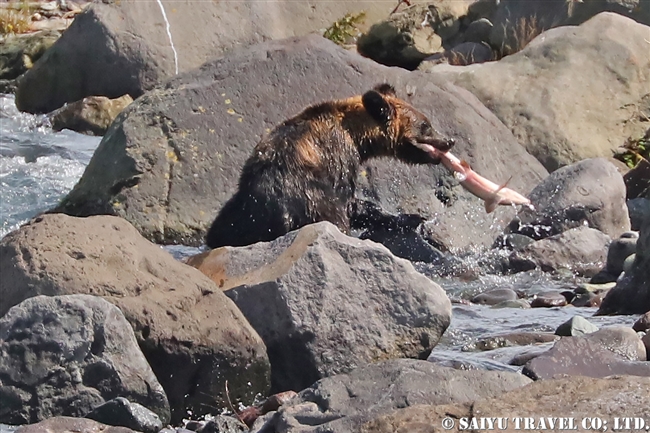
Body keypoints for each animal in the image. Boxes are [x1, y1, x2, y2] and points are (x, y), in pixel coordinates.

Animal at [205, 84, 454, 248]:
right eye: (426, 126)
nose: (449, 140)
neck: (356, 135)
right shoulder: (338, 158)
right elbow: (349, 201)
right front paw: (410, 218)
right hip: (308, 199)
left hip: (239, 213)